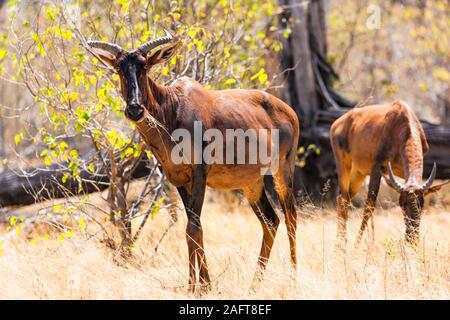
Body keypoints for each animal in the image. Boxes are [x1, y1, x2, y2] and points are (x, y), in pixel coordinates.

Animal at [87, 30, 298, 292]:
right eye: (118, 67)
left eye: (145, 66)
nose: (135, 109)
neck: (172, 106)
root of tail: (289, 111)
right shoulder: (179, 179)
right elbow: (193, 228)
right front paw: (201, 285)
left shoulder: (200, 174)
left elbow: (193, 227)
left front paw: (198, 287)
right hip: (252, 184)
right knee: (270, 221)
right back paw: (254, 285)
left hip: (283, 172)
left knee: (291, 216)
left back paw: (293, 279)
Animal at [328, 101, 448, 244]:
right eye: (402, 204)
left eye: (421, 204)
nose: (411, 239)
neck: (402, 120)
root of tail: (336, 124)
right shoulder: (377, 166)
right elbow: (370, 205)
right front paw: (358, 244)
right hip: (343, 165)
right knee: (344, 199)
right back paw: (342, 243)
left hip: (358, 173)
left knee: (342, 198)